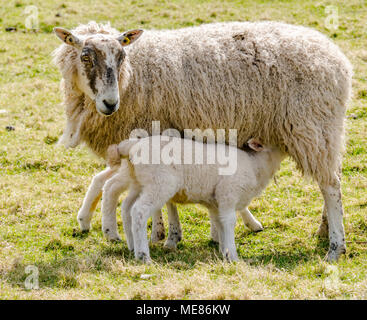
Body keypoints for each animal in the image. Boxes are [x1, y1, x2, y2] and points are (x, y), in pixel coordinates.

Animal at [101, 136, 288, 262]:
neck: (256, 166)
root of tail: (132, 146)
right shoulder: (228, 194)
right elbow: (229, 222)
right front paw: (232, 256)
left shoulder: (215, 202)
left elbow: (219, 222)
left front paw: (223, 250)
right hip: (160, 183)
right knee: (139, 211)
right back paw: (142, 255)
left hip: (138, 182)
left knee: (127, 207)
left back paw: (132, 245)